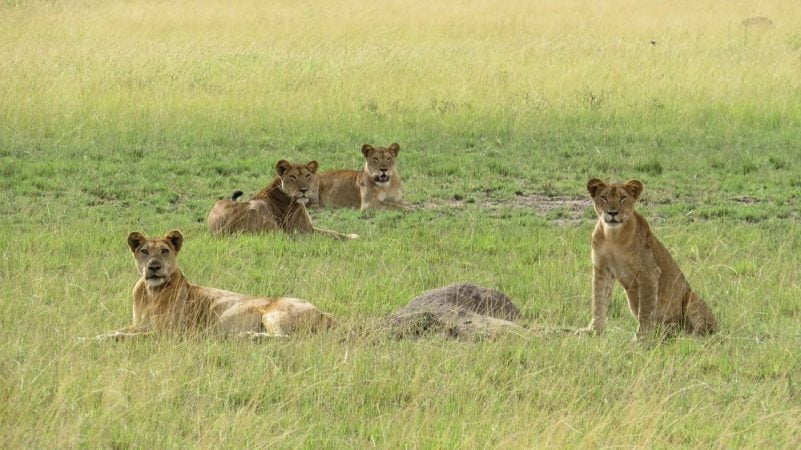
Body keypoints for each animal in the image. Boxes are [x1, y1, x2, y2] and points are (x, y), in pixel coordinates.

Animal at [94, 230, 334, 340]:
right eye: (144, 251)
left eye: (164, 251)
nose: (154, 266)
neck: (152, 292)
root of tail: (322, 312)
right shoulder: (140, 324)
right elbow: (118, 330)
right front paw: (94, 336)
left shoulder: (169, 333)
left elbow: (128, 336)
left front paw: (105, 339)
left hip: (274, 314)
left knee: (284, 337)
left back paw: (250, 336)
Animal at [206, 160, 356, 241]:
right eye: (293, 177)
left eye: (307, 175)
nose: (304, 190)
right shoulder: (304, 229)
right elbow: (332, 234)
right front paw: (353, 237)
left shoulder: (308, 228)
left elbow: (331, 231)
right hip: (260, 209)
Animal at [576, 178, 720, 338]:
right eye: (604, 197)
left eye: (622, 198)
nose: (612, 213)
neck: (612, 236)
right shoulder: (602, 269)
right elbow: (598, 300)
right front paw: (593, 330)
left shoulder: (649, 272)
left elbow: (645, 309)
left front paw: (641, 338)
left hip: (691, 297)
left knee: (702, 331)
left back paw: (687, 337)